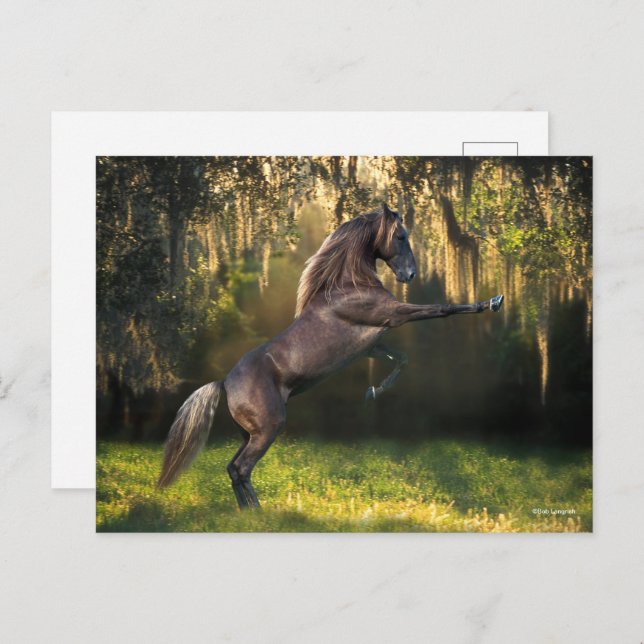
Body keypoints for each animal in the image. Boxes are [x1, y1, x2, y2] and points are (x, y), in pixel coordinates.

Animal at [158, 203, 504, 509]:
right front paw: (492, 302)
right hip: (268, 428)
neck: (349, 285)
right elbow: (442, 309)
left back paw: (250, 512)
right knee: (242, 468)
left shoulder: (372, 345)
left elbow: (401, 358)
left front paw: (372, 392)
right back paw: (257, 512)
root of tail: (225, 383)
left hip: (250, 433)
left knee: (233, 468)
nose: (410, 274)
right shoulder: (394, 315)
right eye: (401, 236)